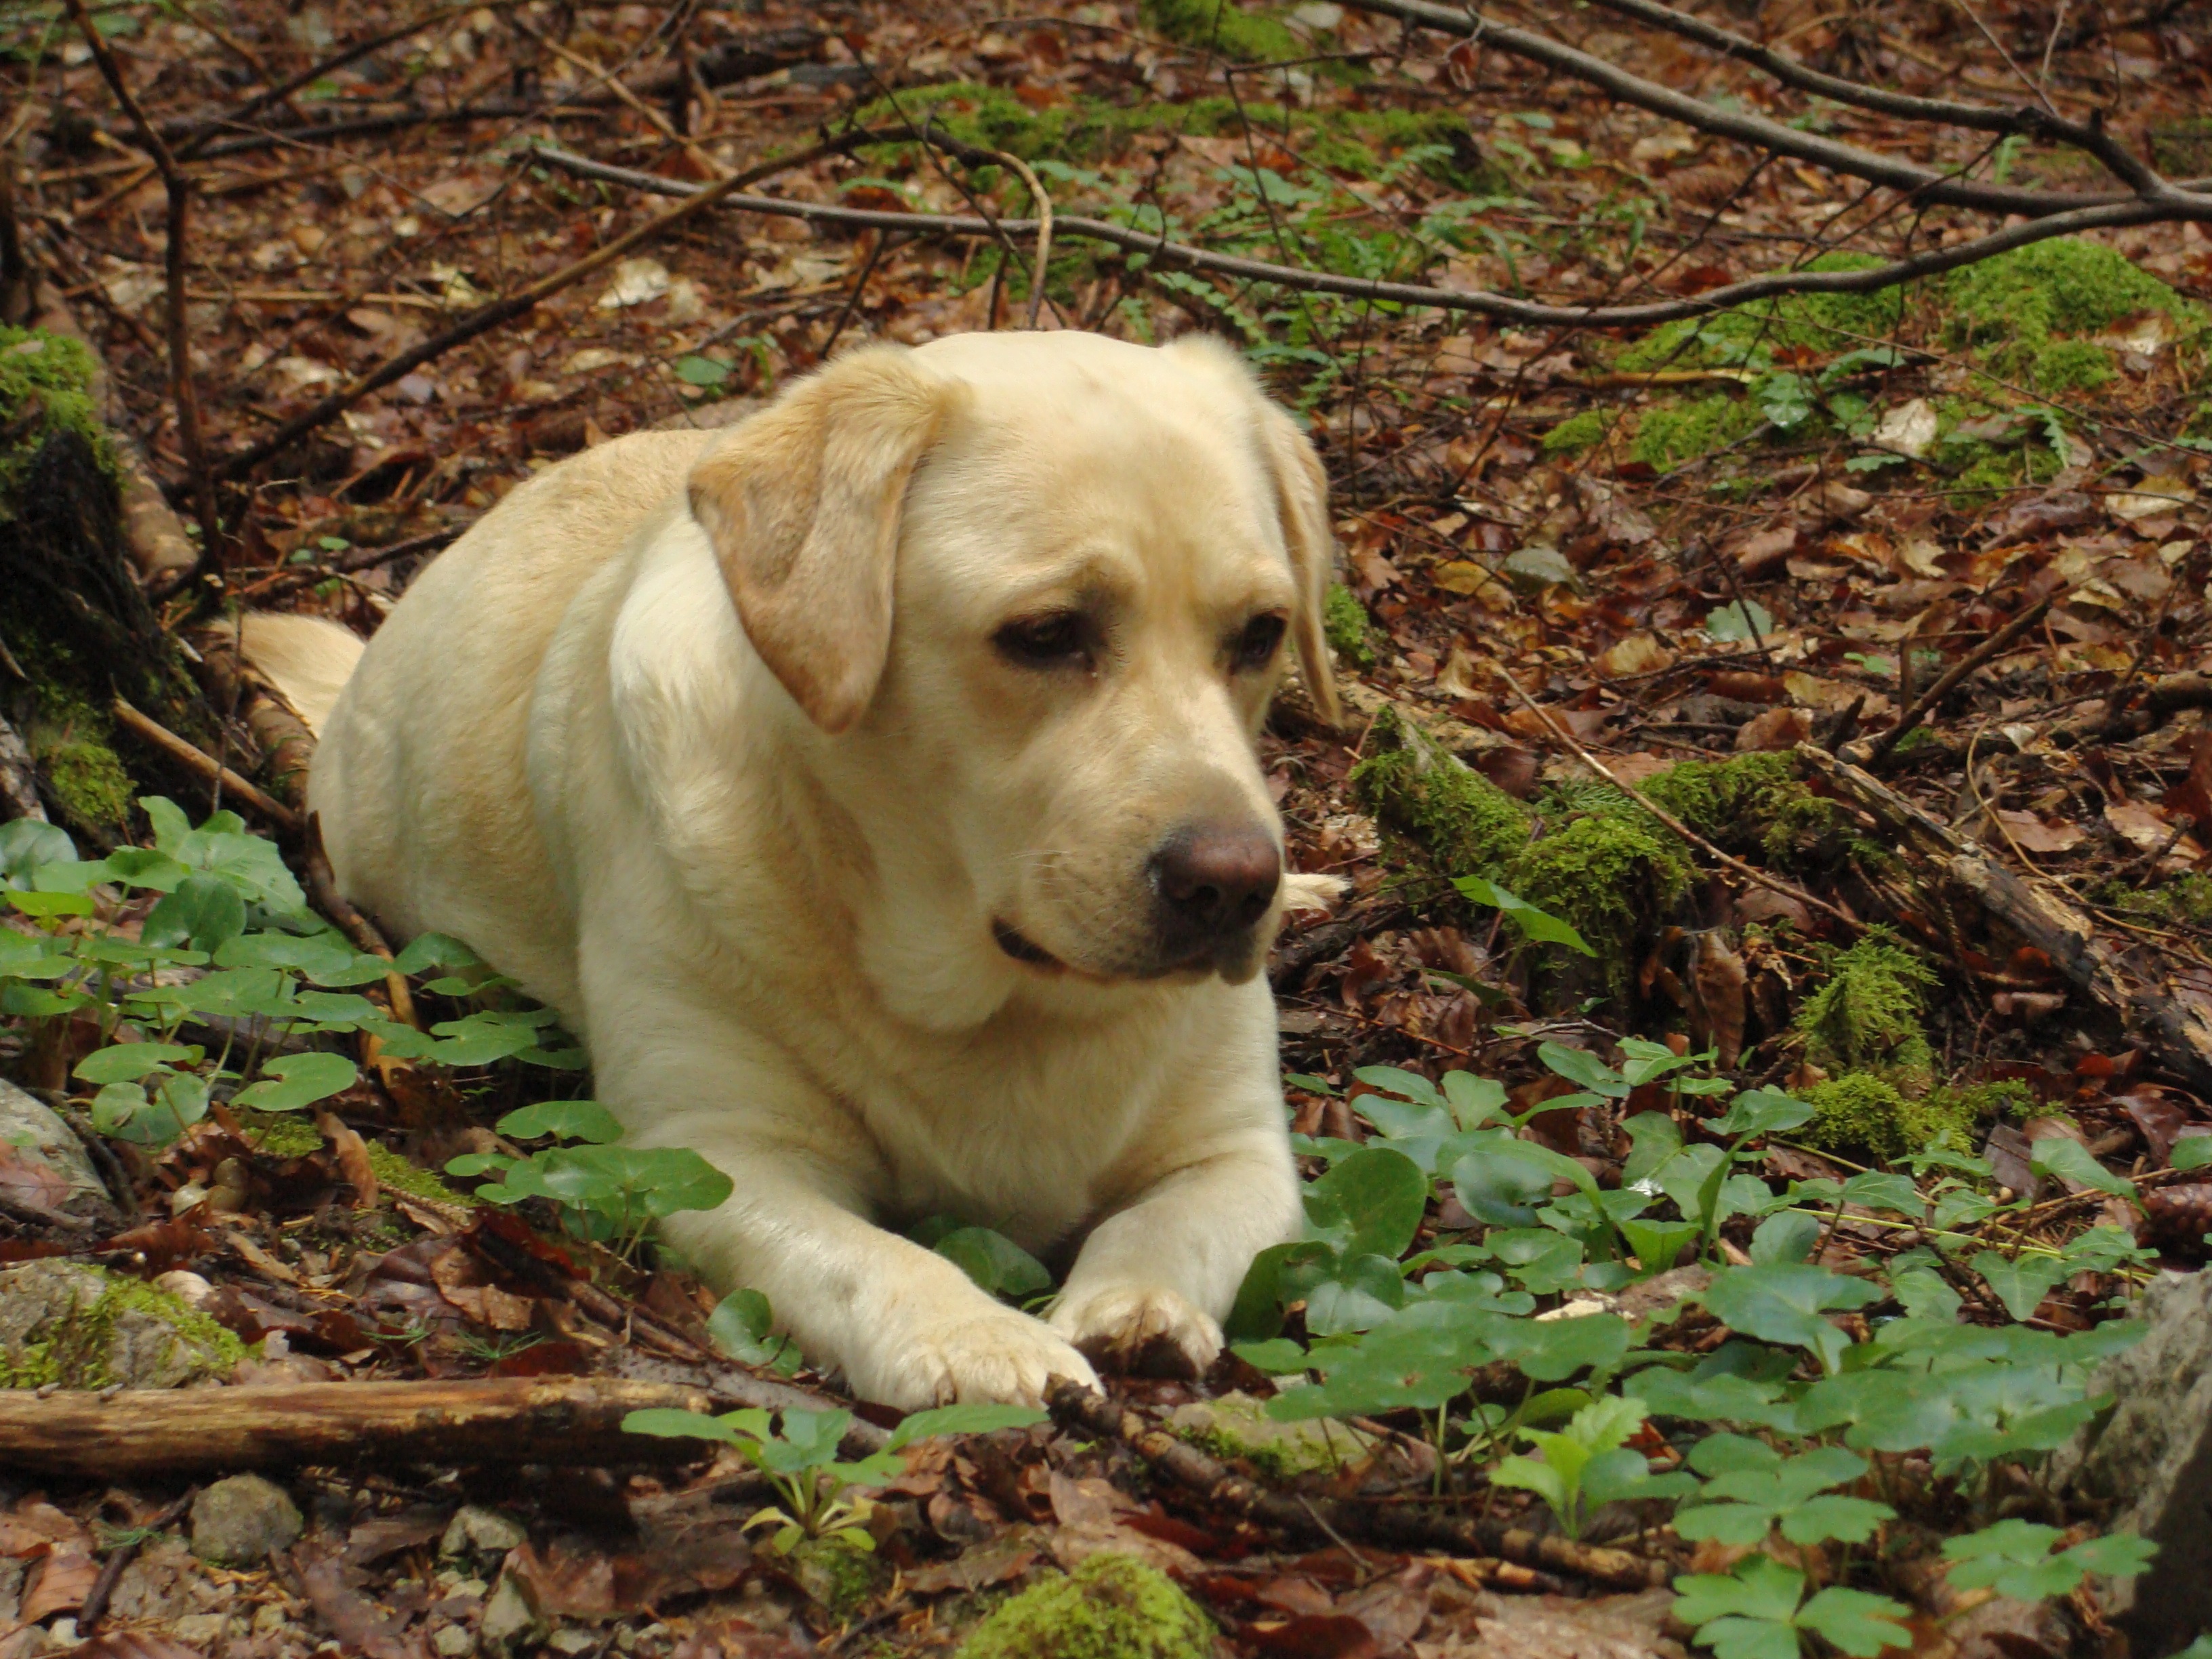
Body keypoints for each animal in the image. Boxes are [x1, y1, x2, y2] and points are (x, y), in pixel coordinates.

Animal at [251, 331, 1336, 1406]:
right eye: (1047, 634)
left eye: (1260, 634)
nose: (1235, 885)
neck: (997, 1002)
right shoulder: (717, 1152)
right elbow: (872, 1258)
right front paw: (974, 1337)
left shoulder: (1243, 1151)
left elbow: (1167, 1223)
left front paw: (1138, 1306)